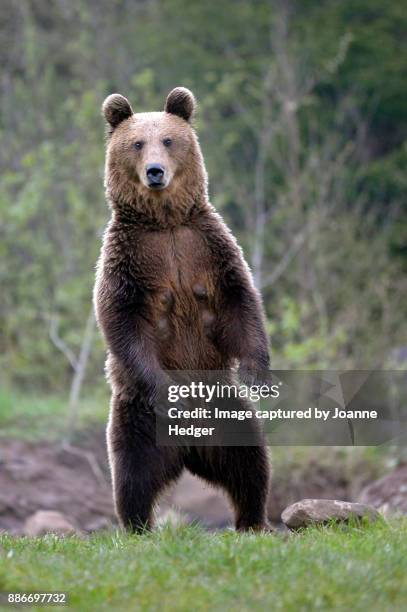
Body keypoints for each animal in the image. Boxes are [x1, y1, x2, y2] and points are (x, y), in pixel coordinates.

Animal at [95, 86, 272, 532]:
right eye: (137, 143)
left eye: (169, 140)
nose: (155, 171)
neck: (165, 222)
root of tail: (190, 450)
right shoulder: (129, 260)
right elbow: (122, 319)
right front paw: (166, 389)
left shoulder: (207, 248)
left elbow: (240, 303)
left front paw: (258, 373)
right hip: (139, 419)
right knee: (133, 474)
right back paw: (138, 525)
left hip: (226, 409)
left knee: (250, 463)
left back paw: (253, 520)